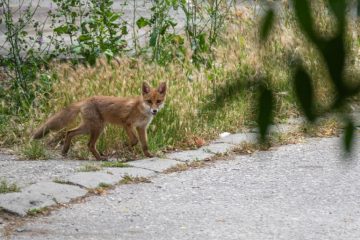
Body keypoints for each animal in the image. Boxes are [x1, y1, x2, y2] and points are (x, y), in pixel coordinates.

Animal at [33, 81, 167, 160]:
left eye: (158, 101)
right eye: (149, 101)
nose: (154, 111)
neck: (142, 110)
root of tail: (86, 99)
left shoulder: (141, 127)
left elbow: (145, 144)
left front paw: (148, 155)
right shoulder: (127, 124)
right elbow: (134, 140)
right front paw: (125, 147)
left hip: (89, 128)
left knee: (69, 132)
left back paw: (65, 151)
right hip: (97, 128)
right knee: (89, 144)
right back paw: (100, 158)